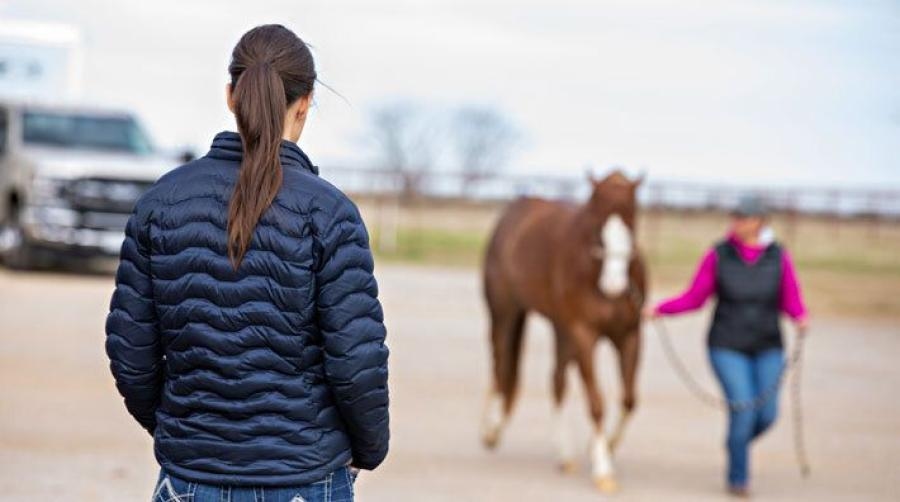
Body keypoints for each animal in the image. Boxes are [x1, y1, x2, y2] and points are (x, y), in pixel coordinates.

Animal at [482, 171, 644, 492]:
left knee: (556, 381)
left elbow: (629, 399)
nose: (614, 285)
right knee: (501, 364)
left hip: (561, 329)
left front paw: (603, 447)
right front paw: (603, 470)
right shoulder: (584, 335)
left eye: (632, 222)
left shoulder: (629, 336)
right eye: (596, 225)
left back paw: (564, 455)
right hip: (505, 314)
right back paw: (492, 431)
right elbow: (596, 402)